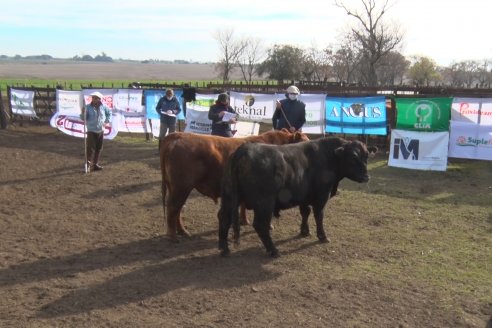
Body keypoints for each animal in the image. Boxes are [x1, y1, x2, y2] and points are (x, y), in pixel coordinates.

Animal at [160, 129, 308, 241]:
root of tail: (177, 135)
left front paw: (244, 221)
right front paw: (268, 226)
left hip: (177, 188)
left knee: (178, 209)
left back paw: (182, 231)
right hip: (181, 187)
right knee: (173, 208)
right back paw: (173, 236)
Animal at [219, 137, 368, 258]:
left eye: (366, 156)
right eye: (353, 157)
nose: (366, 177)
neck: (329, 156)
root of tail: (244, 149)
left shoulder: (304, 197)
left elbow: (305, 213)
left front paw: (304, 231)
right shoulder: (321, 197)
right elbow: (319, 216)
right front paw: (322, 236)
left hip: (229, 198)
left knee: (224, 218)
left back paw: (224, 248)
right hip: (264, 203)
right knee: (260, 225)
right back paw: (273, 250)